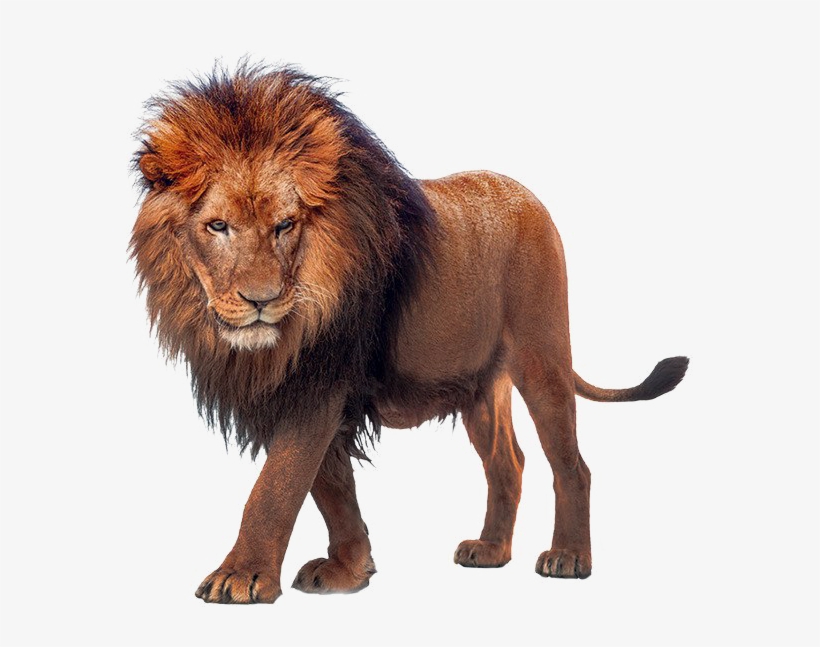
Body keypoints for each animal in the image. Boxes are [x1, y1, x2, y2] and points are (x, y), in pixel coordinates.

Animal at [131, 63, 688, 604]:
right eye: (217, 226)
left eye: (285, 225)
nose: (261, 301)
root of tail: (528, 197)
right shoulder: (304, 391)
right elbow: (331, 487)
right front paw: (350, 570)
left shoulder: (320, 383)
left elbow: (276, 486)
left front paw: (241, 576)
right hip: (480, 387)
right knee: (507, 463)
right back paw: (490, 550)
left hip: (542, 356)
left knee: (572, 464)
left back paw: (569, 558)